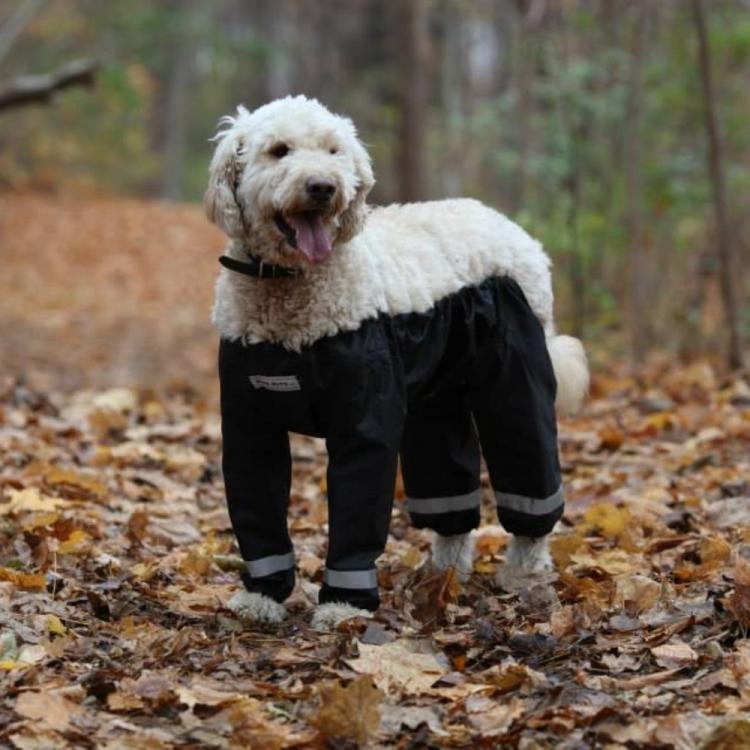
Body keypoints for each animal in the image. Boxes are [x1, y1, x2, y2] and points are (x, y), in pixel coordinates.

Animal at [207, 95, 592, 636]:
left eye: (334, 151)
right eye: (279, 150)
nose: (323, 187)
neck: (289, 286)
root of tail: (512, 228)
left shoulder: (365, 424)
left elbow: (358, 510)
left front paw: (344, 607)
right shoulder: (249, 426)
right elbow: (258, 513)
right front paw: (262, 597)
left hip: (514, 385)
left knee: (529, 476)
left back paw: (524, 572)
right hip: (438, 401)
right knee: (449, 495)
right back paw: (443, 573)